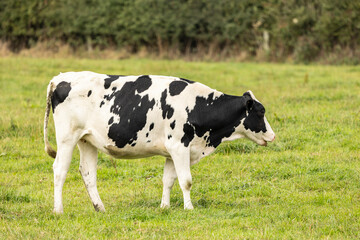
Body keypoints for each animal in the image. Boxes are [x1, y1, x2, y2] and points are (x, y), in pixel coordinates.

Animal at [45, 70, 276, 213]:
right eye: (261, 111)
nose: (273, 135)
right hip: (67, 138)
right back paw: (58, 210)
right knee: (60, 170)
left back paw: (100, 208)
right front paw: (189, 208)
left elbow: (168, 180)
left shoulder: (171, 152)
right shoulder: (179, 146)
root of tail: (61, 77)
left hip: (87, 140)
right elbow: (186, 180)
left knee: (87, 173)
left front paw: (164, 207)